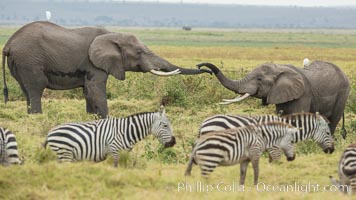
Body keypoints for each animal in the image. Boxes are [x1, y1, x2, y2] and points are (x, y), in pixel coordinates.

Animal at [1, 21, 210, 117]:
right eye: (139, 52)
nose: (203, 66)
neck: (113, 34)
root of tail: (9, 44)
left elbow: (88, 91)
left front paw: (90, 118)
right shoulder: (93, 63)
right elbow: (96, 90)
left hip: (21, 63)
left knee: (27, 91)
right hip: (30, 60)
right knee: (36, 88)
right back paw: (37, 116)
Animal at [44, 106, 175, 167]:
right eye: (165, 125)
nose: (173, 142)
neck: (125, 131)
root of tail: (49, 133)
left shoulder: (124, 153)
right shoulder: (114, 151)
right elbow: (115, 167)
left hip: (61, 156)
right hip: (65, 154)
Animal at [197, 62, 350, 138]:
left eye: (259, 79)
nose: (199, 66)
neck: (280, 69)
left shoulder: (303, 94)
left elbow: (298, 117)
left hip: (343, 93)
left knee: (333, 120)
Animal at [197, 112, 334, 162]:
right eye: (328, 133)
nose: (332, 150)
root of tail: (204, 122)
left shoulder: (271, 149)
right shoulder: (274, 148)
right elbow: (277, 162)